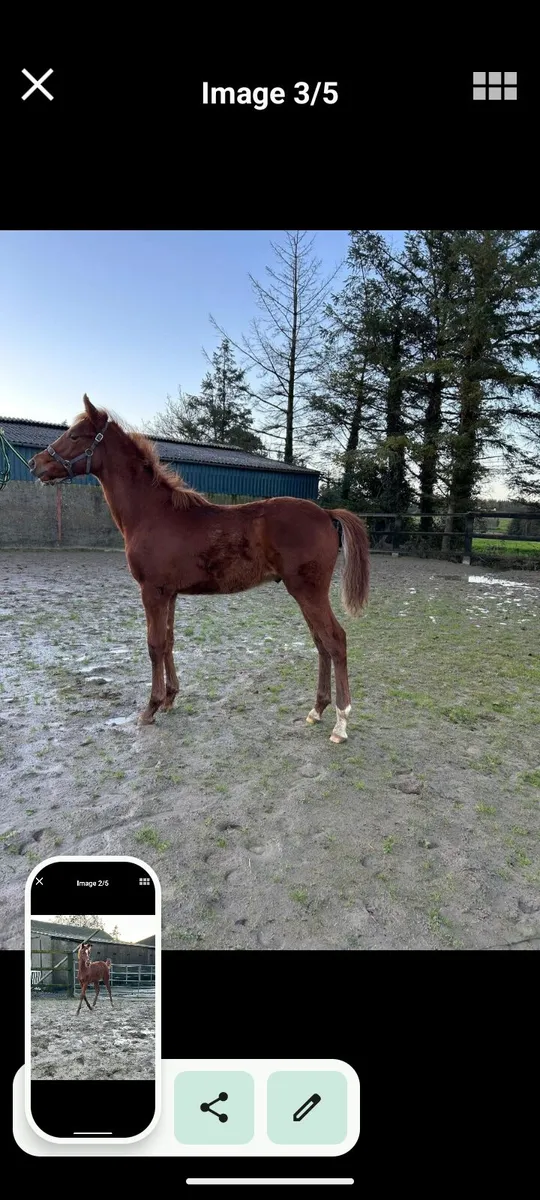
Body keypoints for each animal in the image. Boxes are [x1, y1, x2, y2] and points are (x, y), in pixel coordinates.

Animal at [29, 395, 370, 743]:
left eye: (74, 436)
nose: (35, 463)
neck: (153, 513)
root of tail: (326, 513)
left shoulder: (152, 591)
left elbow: (154, 645)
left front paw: (150, 708)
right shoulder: (169, 594)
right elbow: (168, 641)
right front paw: (169, 698)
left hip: (308, 592)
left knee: (335, 640)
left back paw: (341, 723)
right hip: (304, 593)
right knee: (321, 643)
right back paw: (317, 710)